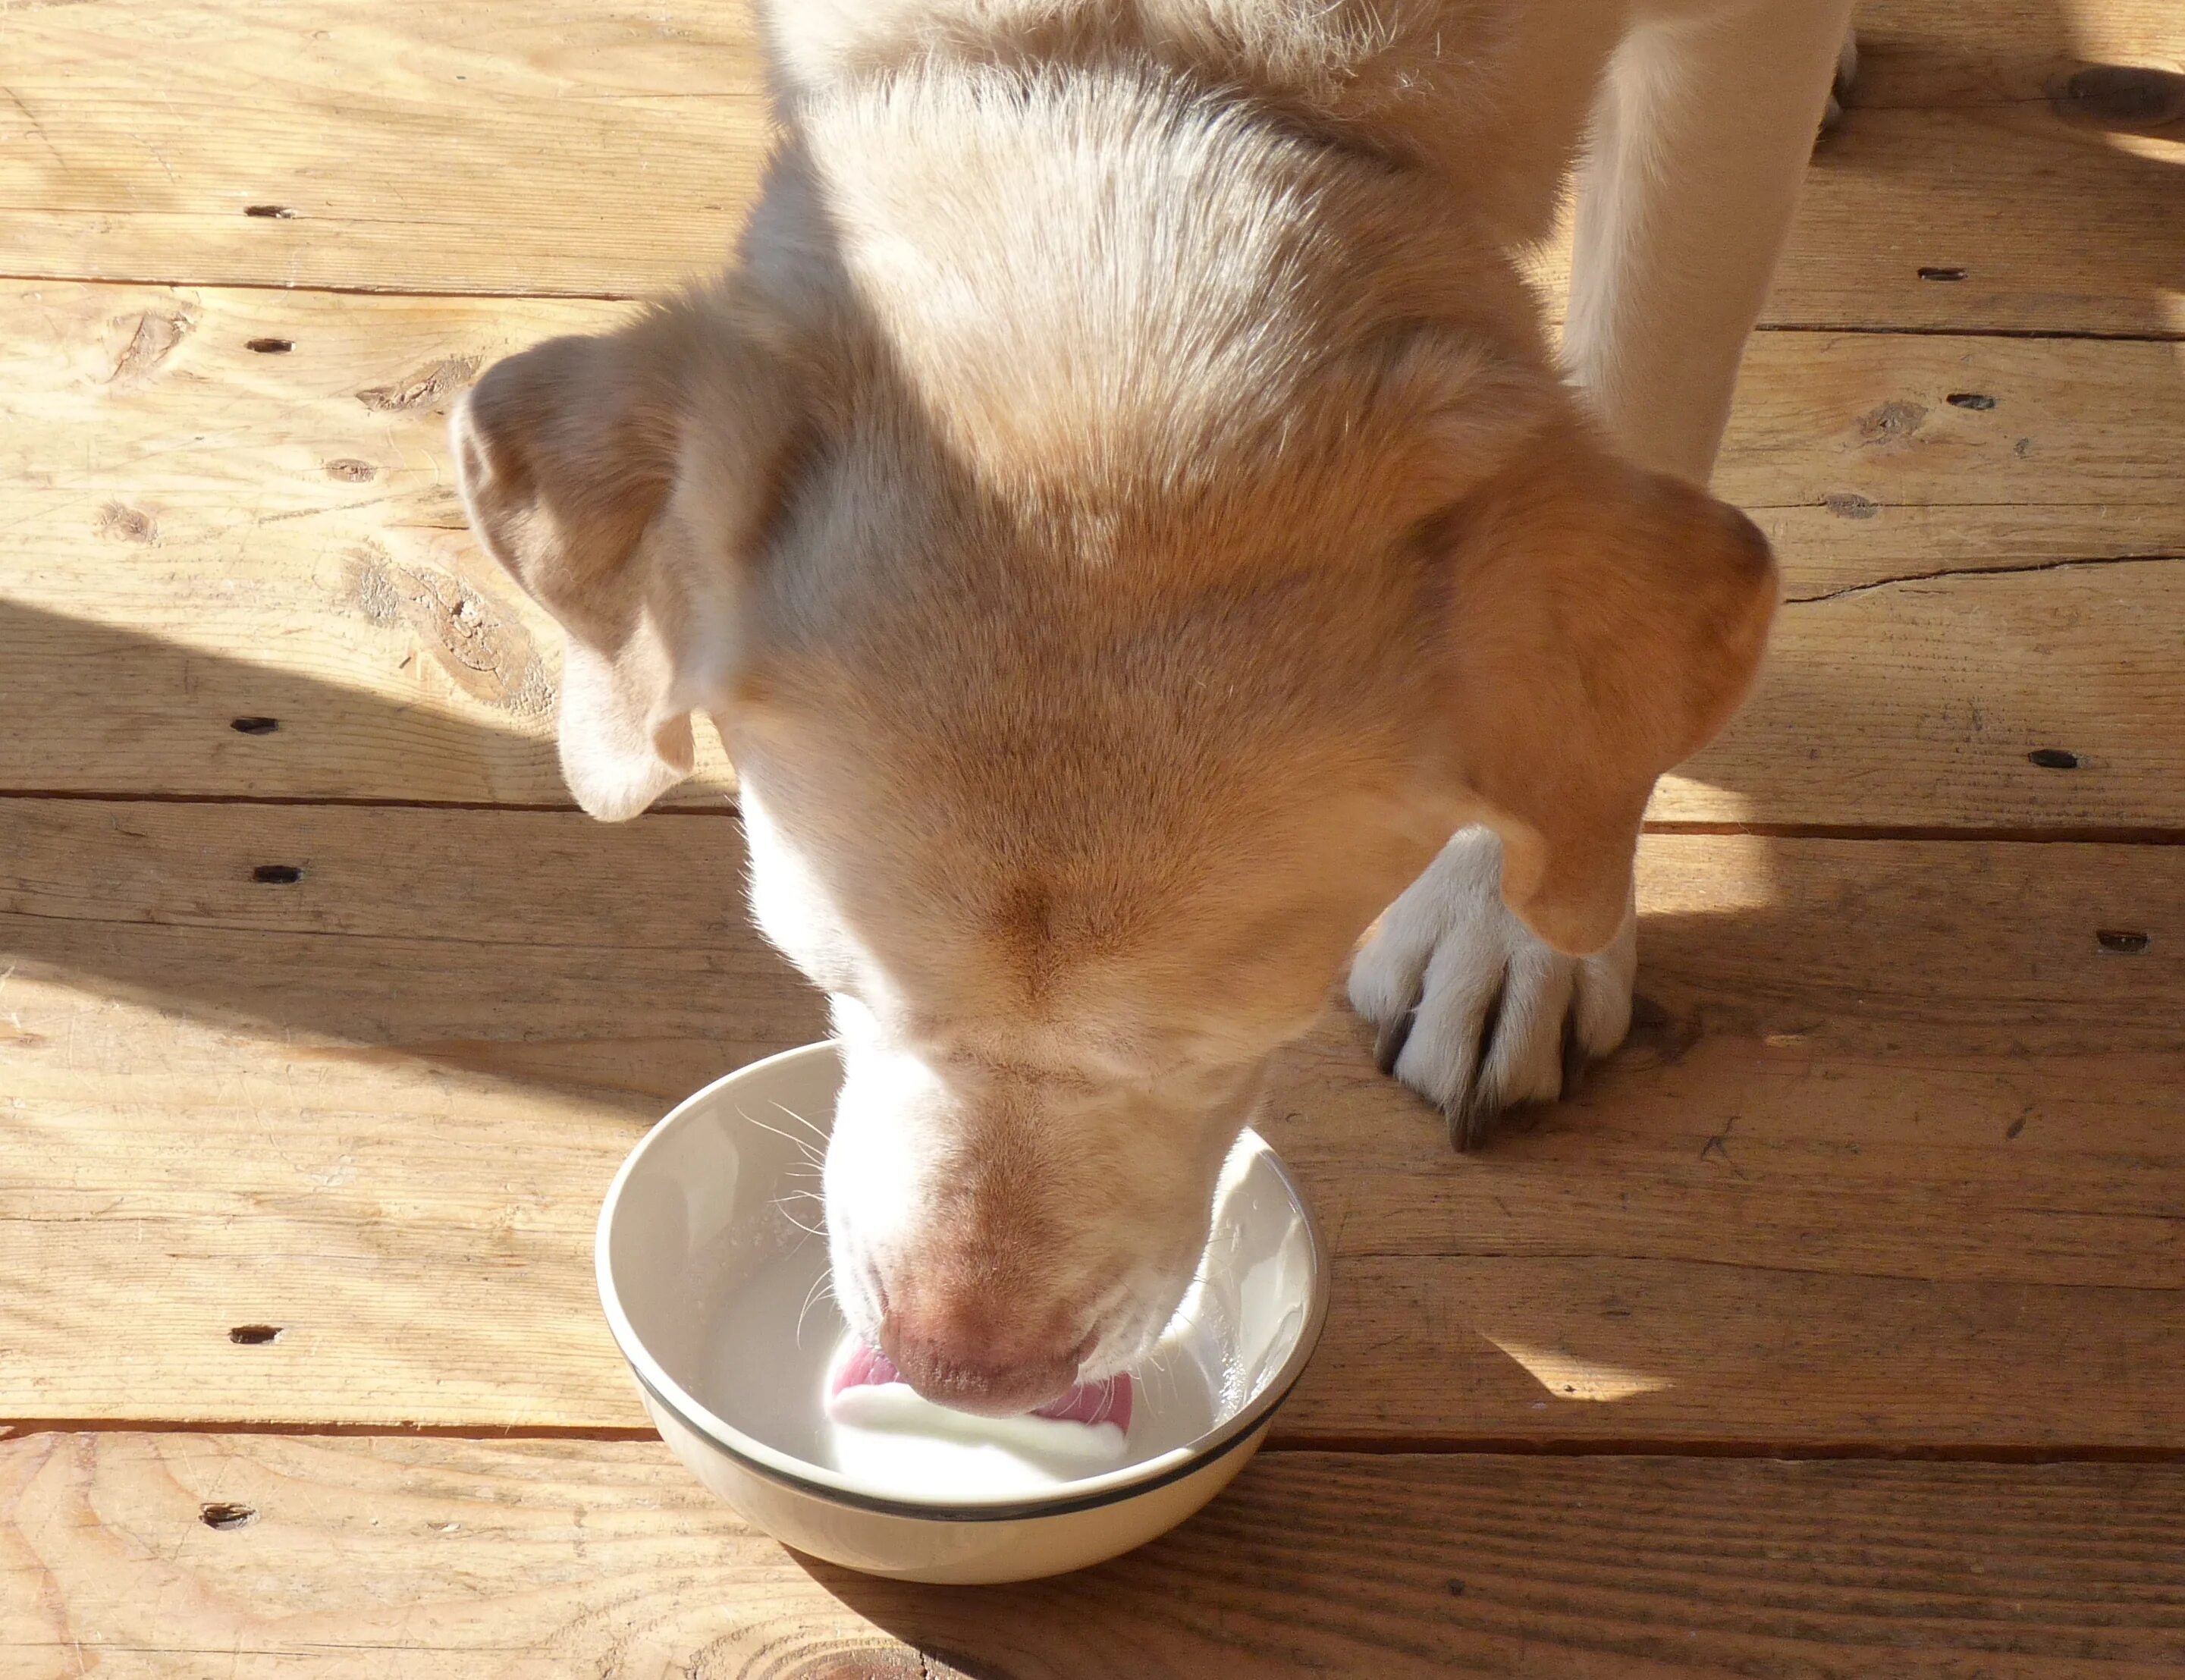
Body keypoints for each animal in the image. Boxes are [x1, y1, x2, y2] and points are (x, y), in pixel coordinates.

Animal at [452, 0, 1853, 1415]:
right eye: (831, 973)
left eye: (1214, 1040)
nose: (964, 1376)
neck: (1186, 52)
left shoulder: (1736, 55)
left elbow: (1644, 394)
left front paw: (1514, 933)